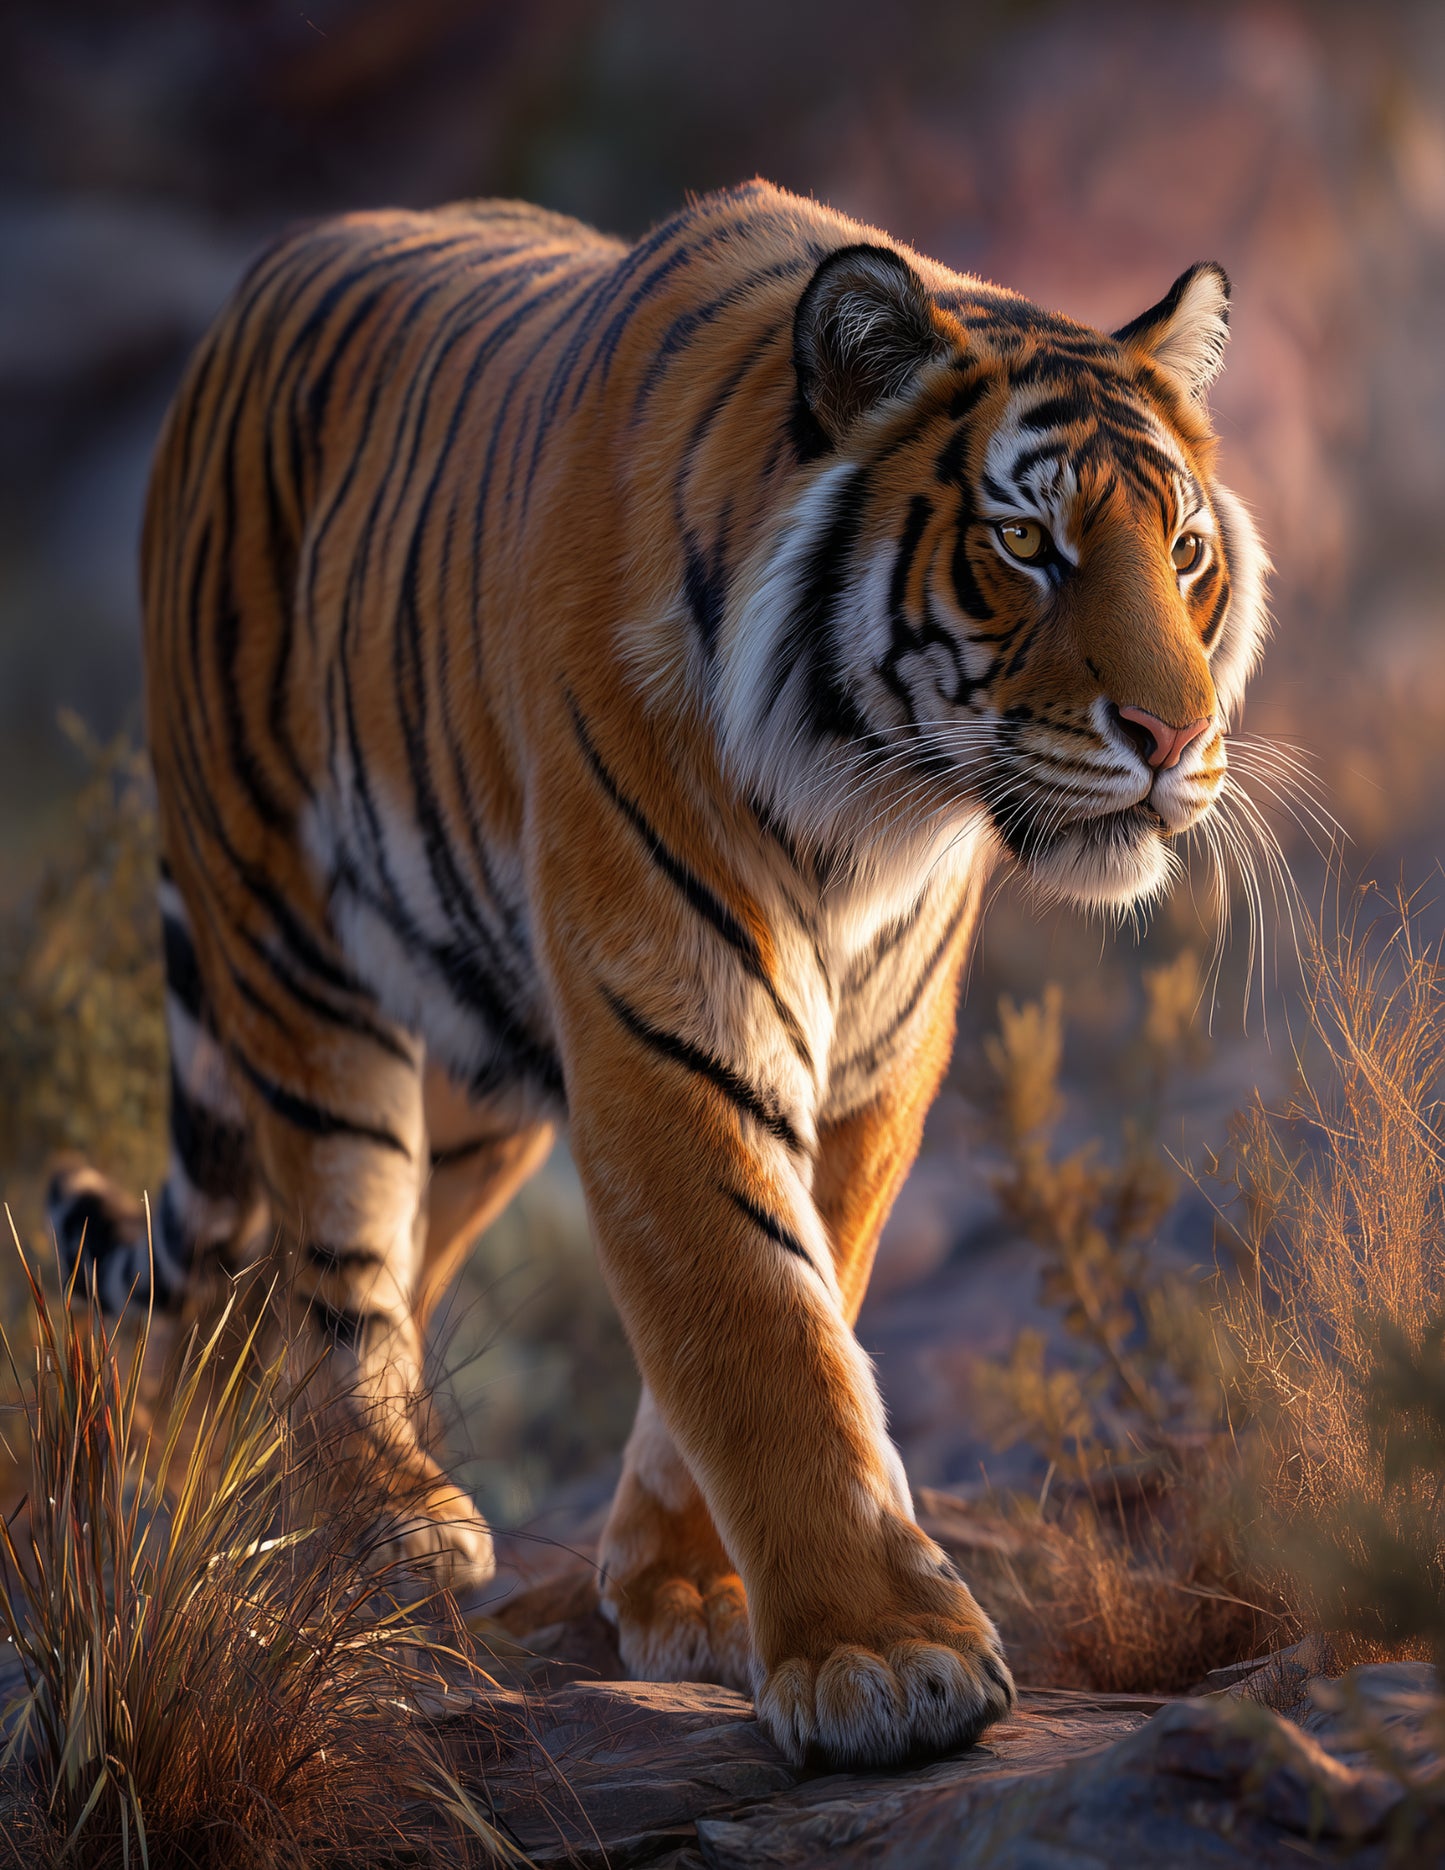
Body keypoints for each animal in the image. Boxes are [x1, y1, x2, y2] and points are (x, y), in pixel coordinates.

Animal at [49, 179, 1268, 1769]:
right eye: (1024, 542)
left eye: (1182, 551)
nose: (1173, 737)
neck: (872, 806)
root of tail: (262, 283)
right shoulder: (661, 1016)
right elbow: (756, 1320)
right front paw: (883, 1662)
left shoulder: (875, 1065)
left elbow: (806, 1283)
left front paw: (686, 1588)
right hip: (284, 937)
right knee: (333, 1250)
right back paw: (381, 1512)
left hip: (475, 1073)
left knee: (326, 1273)